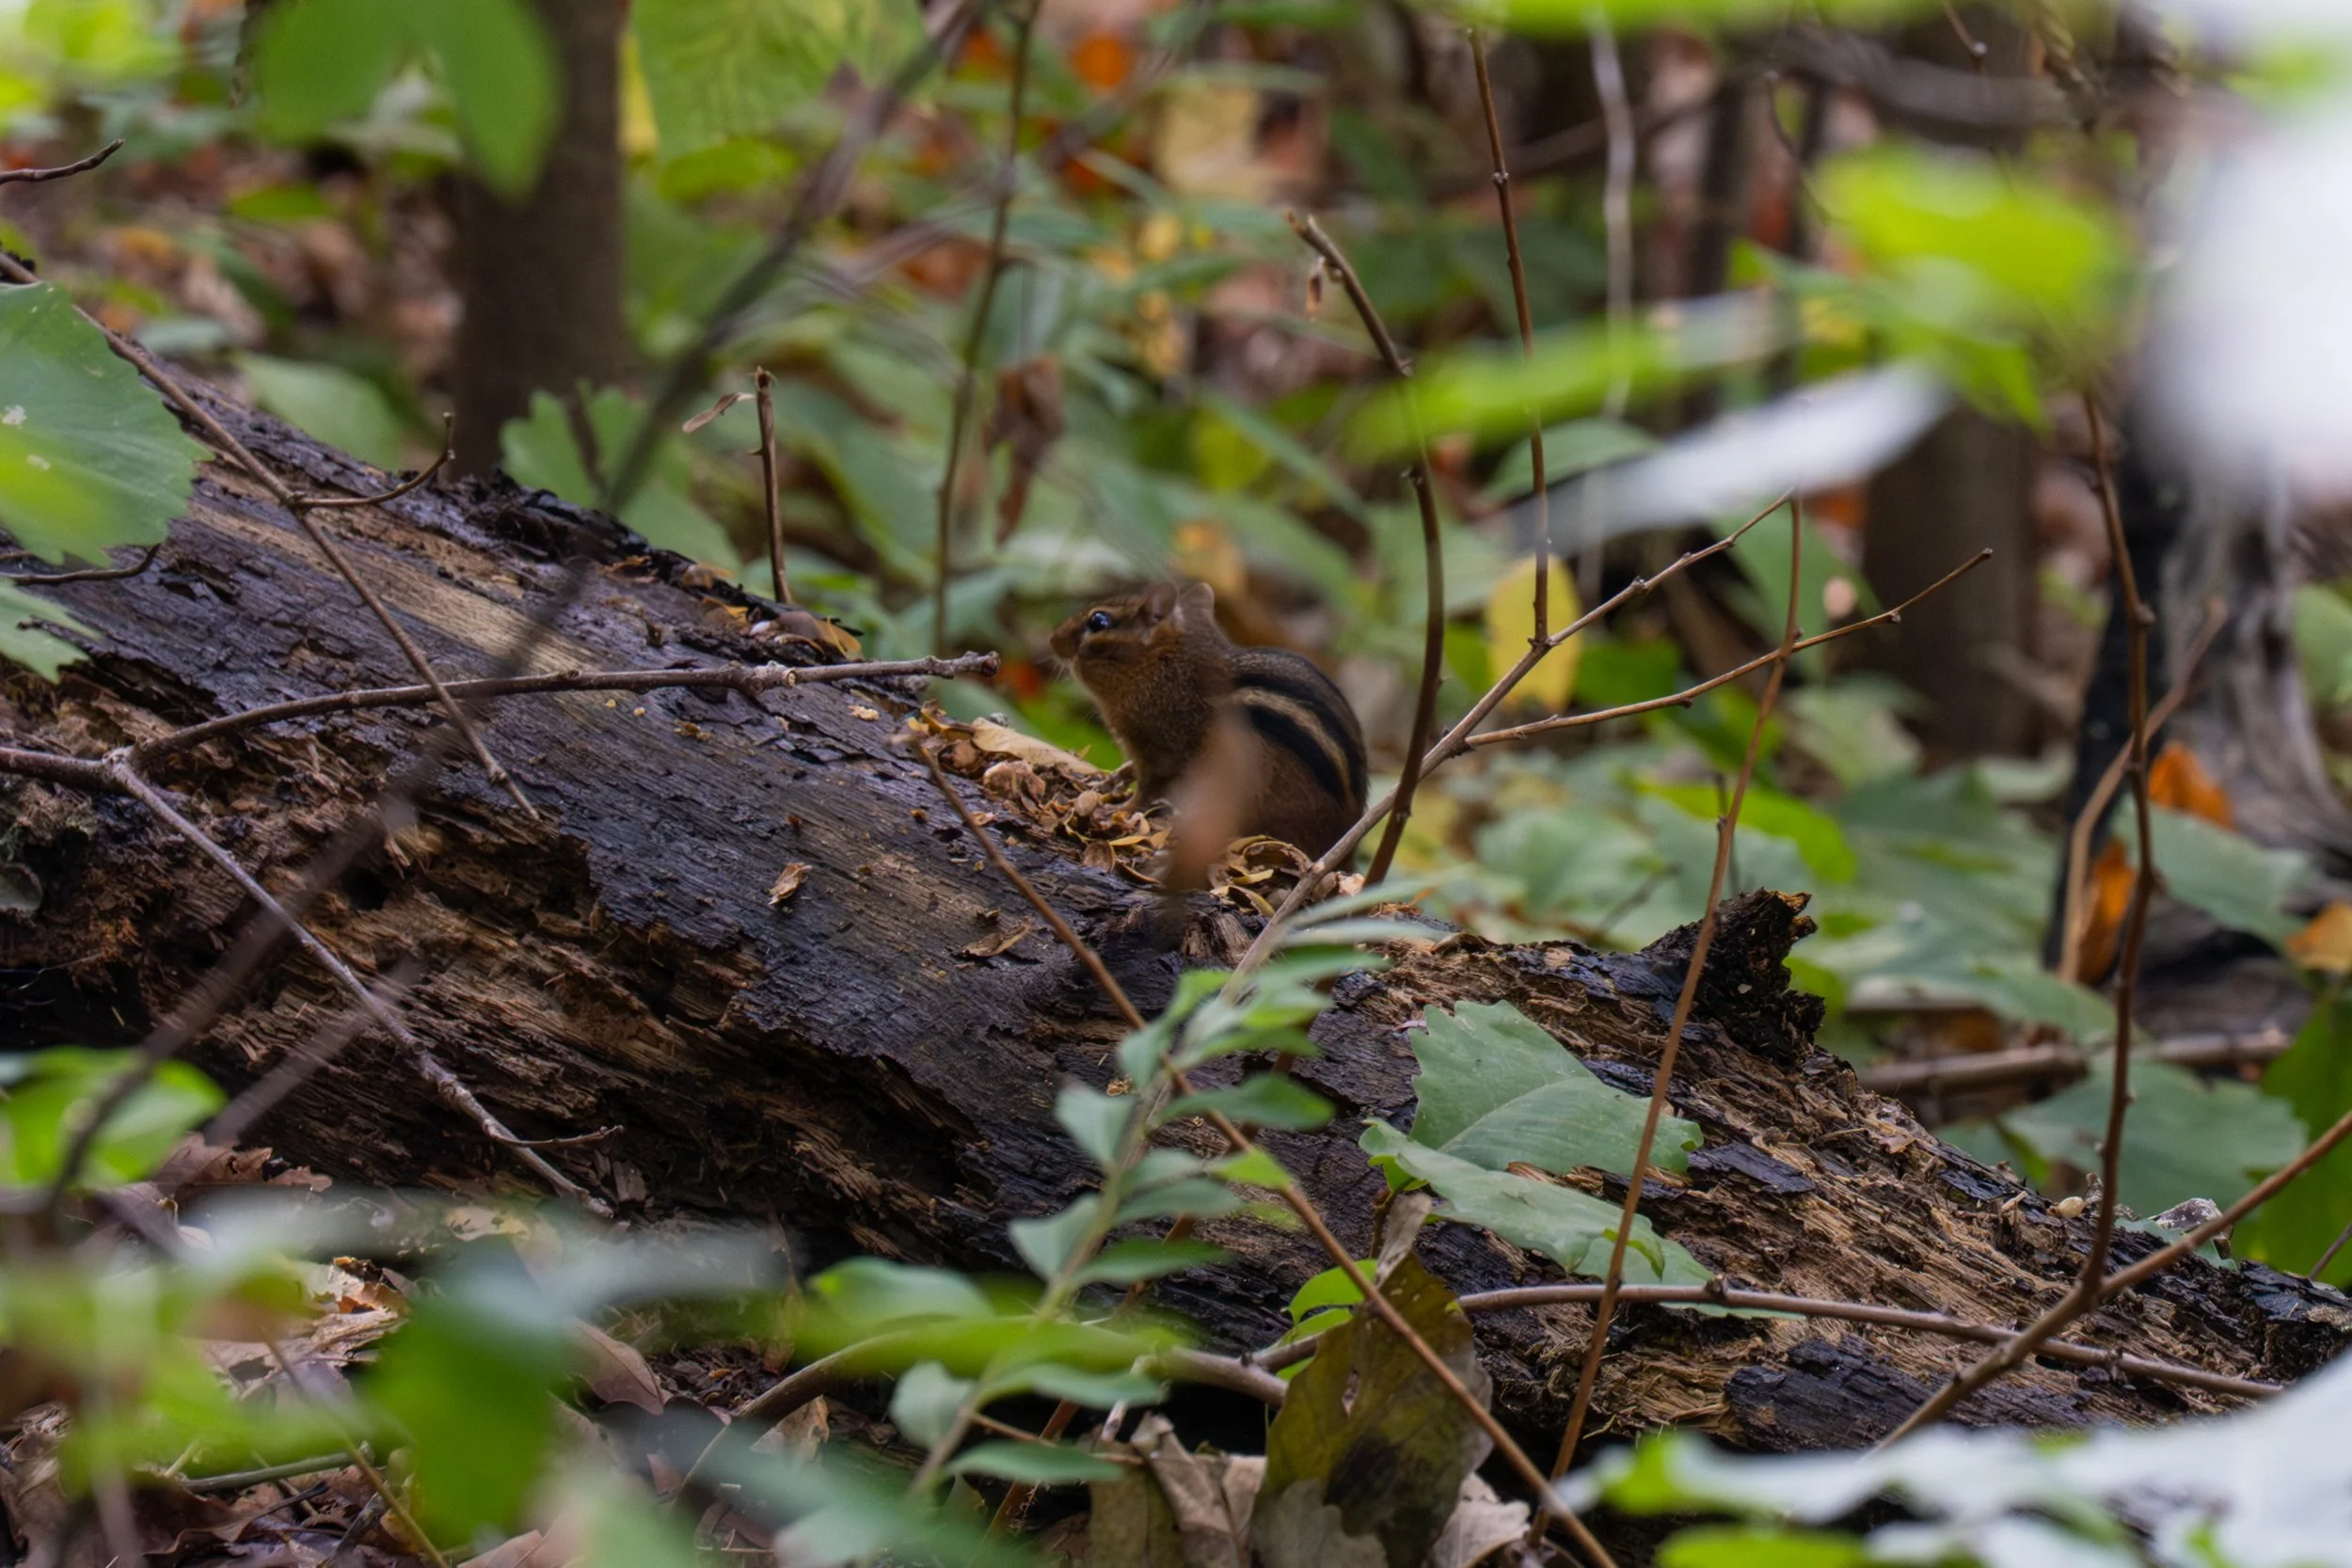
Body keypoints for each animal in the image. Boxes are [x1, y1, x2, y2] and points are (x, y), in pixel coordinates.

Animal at [1050, 582, 1367, 860]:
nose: (1052, 640)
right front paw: (1110, 780)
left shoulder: (1162, 750)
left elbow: (1147, 790)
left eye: (1098, 621)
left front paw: (1120, 810)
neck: (1167, 670)